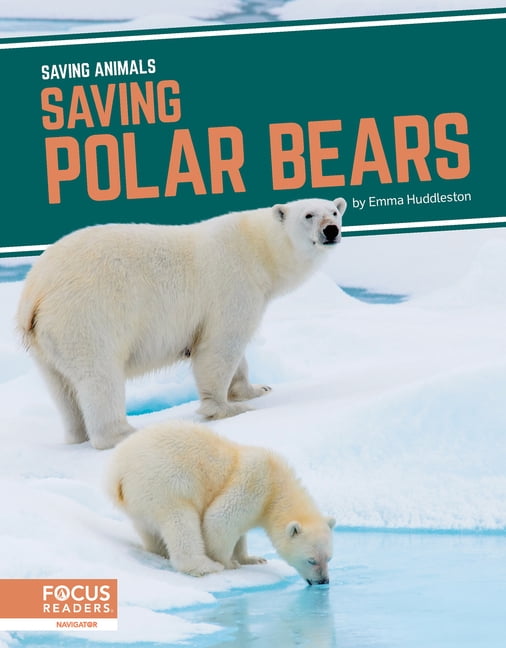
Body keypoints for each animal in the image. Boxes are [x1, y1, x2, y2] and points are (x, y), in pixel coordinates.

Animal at [17, 197, 346, 449]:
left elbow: (237, 356)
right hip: (86, 315)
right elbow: (220, 346)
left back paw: (77, 435)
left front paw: (257, 389)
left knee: (62, 388)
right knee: (99, 376)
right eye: (308, 214)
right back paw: (124, 433)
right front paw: (227, 408)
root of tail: (35, 290)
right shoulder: (232, 285)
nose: (331, 230)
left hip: (47, 341)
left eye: (334, 210)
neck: (257, 248)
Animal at [106, 419, 336, 585]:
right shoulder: (254, 483)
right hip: (166, 484)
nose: (323, 581)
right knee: (181, 523)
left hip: (140, 501)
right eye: (311, 560)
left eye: (329, 558)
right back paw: (204, 566)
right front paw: (229, 563)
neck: (277, 485)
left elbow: (240, 533)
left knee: (148, 529)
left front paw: (252, 558)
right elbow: (219, 520)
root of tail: (117, 473)